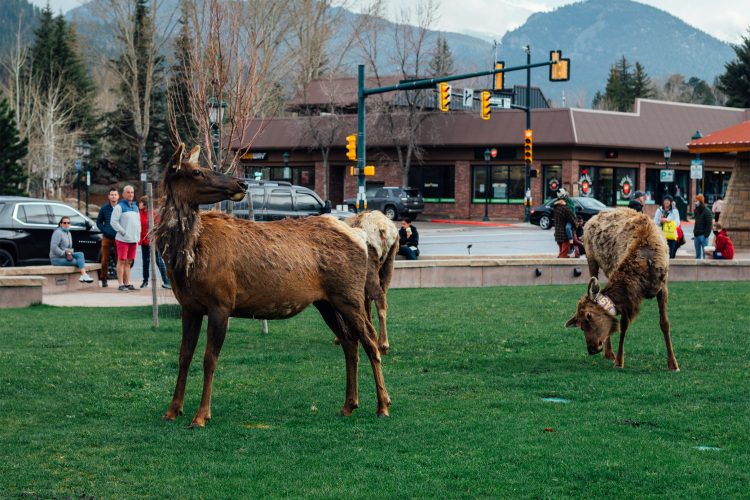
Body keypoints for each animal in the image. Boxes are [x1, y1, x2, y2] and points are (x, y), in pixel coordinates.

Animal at [154, 144, 391, 427]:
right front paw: (172, 410)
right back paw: (349, 404)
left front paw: (201, 416)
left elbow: (209, 359)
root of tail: (360, 236)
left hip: (349, 295)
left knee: (370, 341)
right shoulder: (189, 306)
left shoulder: (221, 303)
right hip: (326, 302)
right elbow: (183, 356)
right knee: (349, 342)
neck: (186, 257)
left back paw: (383, 405)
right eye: (197, 171)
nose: (242, 183)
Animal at [565, 208, 679, 371]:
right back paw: (609, 353)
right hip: (591, 258)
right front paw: (619, 361)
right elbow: (623, 325)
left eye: (589, 316)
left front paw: (673, 364)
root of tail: (592, 218)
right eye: (580, 325)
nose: (591, 349)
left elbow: (665, 323)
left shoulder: (662, 286)